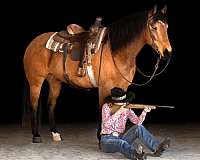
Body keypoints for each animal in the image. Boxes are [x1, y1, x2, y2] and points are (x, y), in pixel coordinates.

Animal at [22, 5, 172, 143]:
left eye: (166, 27)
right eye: (154, 27)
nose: (167, 53)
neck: (115, 51)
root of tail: (32, 43)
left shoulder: (123, 86)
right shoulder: (104, 87)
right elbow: (102, 109)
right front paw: (101, 137)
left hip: (55, 81)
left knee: (51, 104)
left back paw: (55, 133)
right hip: (36, 82)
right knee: (34, 104)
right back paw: (36, 135)